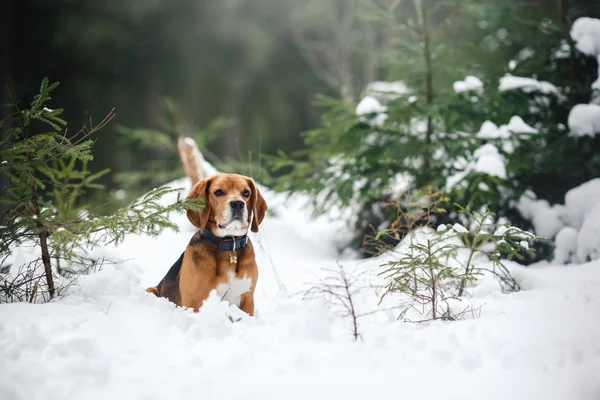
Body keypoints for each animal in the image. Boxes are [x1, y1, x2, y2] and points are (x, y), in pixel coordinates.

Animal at [145, 173, 268, 318]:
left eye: (246, 193)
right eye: (218, 192)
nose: (238, 203)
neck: (229, 245)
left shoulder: (247, 300)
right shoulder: (194, 302)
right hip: (150, 290)